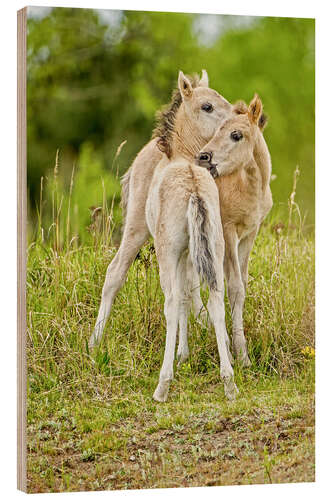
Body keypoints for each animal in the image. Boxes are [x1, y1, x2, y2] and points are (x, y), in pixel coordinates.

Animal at [146, 156, 236, 402]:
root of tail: (194, 190)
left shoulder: (180, 253)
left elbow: (181, 298)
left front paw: (181, 355)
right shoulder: (189, 253)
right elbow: (188, 296)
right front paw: (183, 355)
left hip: (167, 249)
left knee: (171, 301)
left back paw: (162, 386)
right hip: (216, 245)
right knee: (216, 300)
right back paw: (229, 383)